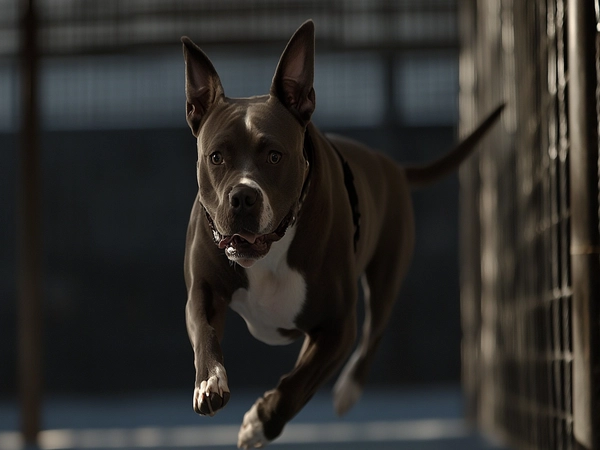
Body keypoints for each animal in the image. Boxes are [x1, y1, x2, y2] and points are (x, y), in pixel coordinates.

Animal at [180, 19, 504, 448]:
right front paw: (210, 383)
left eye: (274, 155)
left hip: (385, 276)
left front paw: (260, 422)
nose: (243, 197)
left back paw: (349, 390)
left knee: (375, 331)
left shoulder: (337, 327)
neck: (270, 251)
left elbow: (299, 385)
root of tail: (392, 166)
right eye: (216, 156)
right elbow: (204, 333)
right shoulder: (203, 290)